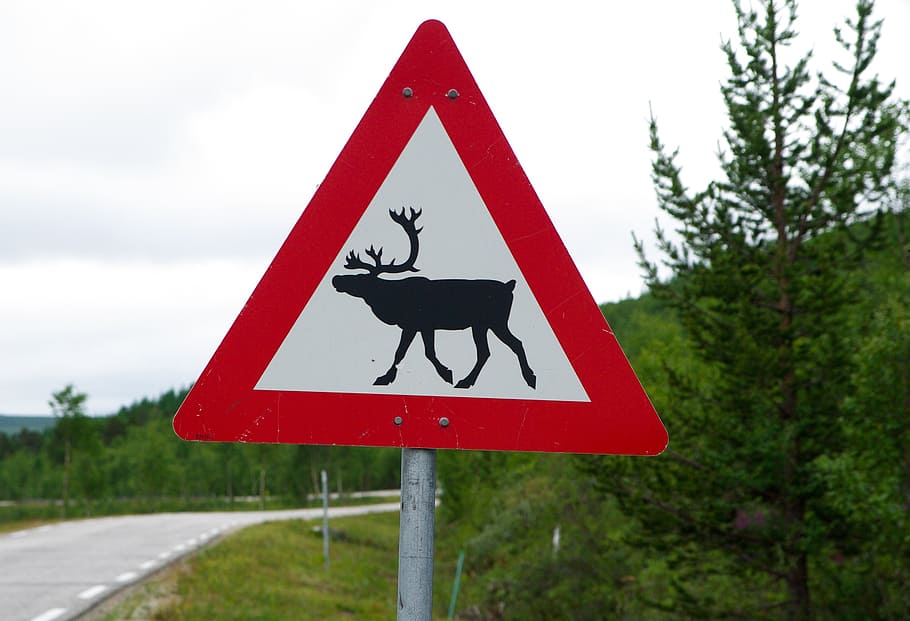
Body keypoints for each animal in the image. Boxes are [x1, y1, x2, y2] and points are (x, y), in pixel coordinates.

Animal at [331, 207, 537, 390]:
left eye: (361, 279)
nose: (336, 279)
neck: (393, 299)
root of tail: (509, 286)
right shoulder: (421, 326)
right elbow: (419, 351)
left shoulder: (417, 324)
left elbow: (410, 352)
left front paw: (444, 373)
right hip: (483, 325)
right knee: (490, 351)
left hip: (494, 322)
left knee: (509, 345)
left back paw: (524, 378)